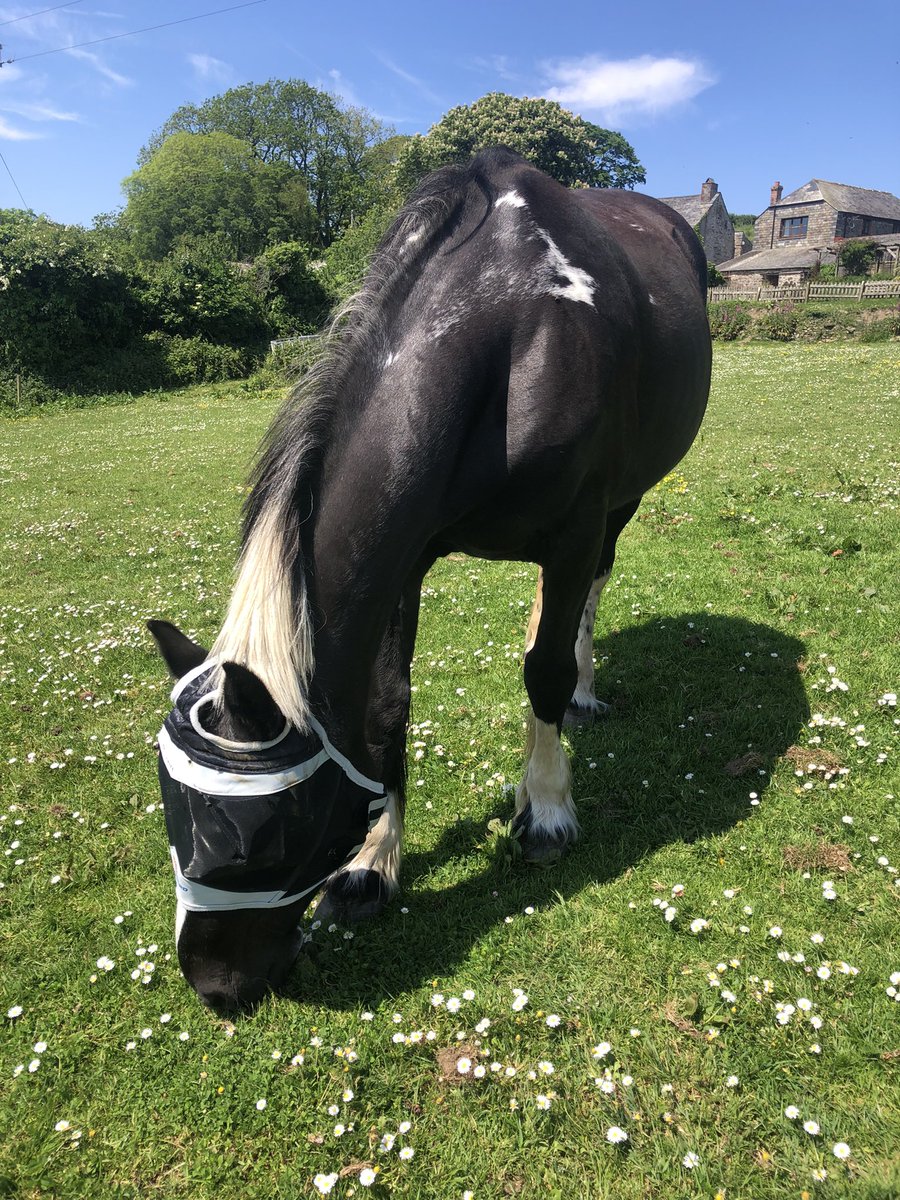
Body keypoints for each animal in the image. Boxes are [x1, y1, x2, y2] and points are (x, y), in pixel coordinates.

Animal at [146, 147, 710, 1012]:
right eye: (173, 814)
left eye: (264, 842)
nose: (215, 986)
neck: (516, 322)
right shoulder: (405, 557)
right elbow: (385, 704)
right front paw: (371, 864)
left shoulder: (577, 528)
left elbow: (544, 670)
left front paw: (547, 809)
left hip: (623, 504)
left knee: (585, 603)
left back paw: (580, 696)